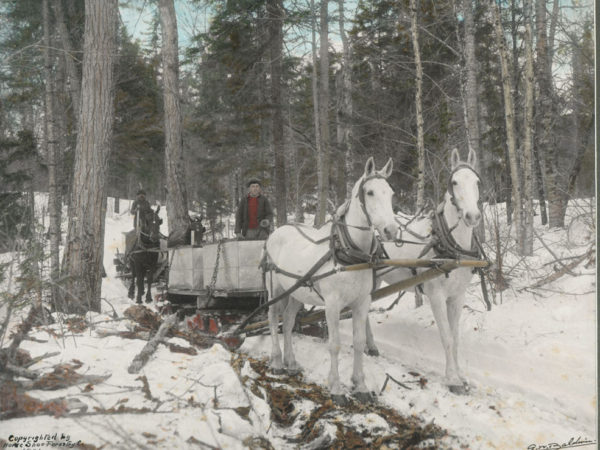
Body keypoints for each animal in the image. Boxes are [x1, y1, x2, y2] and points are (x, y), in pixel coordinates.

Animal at [264, 158, 398, 404]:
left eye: (391, 193)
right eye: (370, 192)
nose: (391, 230)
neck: (350, 252)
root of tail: (278, 230)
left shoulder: (362, 302)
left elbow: (358, 342)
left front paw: (360, 386)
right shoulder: (333, 304)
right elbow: (334, 345)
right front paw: (336, 388)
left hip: (297, 291)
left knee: (287, 322)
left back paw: (291, 362)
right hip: (275, 288)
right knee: (272, 318)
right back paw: (277, 361)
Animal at [366, 149, 482, 394]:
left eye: (477, 181)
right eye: (455, 182)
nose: (472, 216)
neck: (450, 246)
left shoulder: (457, 296)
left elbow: (455, 338)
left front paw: (460, 375)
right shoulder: (436, 295)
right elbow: (446, 337)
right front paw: (452, 379)